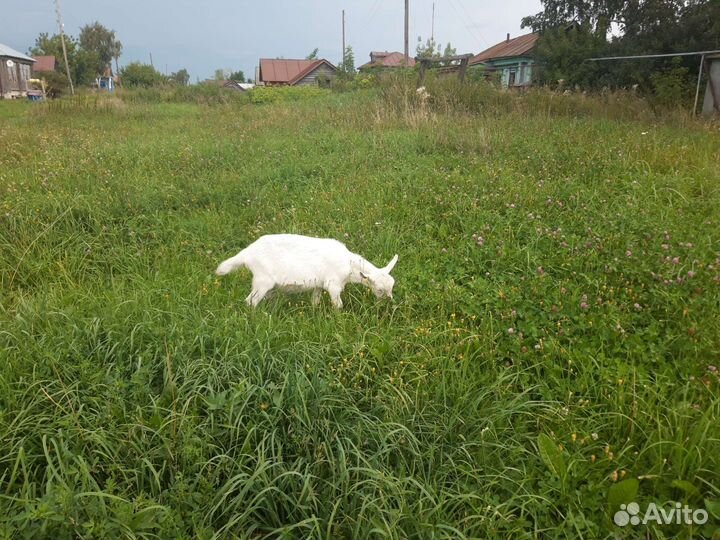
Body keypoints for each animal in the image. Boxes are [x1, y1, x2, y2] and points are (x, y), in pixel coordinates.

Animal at [215, 234, 398, 309]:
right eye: (379, 289)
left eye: (392, 286)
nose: (389, 302)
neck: (349, 263)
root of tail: (248, 253)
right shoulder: (333, 285)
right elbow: (338, 305)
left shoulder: (319, 284)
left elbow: (315, 301)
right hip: (262, 280)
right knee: (250, 301)